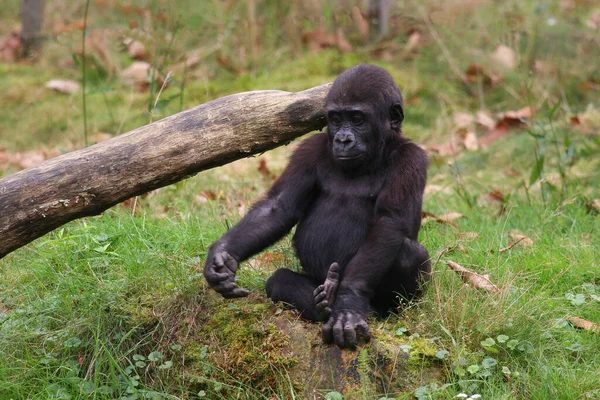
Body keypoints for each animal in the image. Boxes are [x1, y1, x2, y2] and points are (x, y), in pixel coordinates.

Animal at [204, 64, 428, 348]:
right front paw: (222, 255)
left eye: (357, 119)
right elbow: (279, 207)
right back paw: (322, 305)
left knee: (409, 253)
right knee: (279, 280)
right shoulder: (308, 150)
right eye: (335, 119)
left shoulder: (411, 159)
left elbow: (389, 222)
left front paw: (349, 303)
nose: (343, 140)